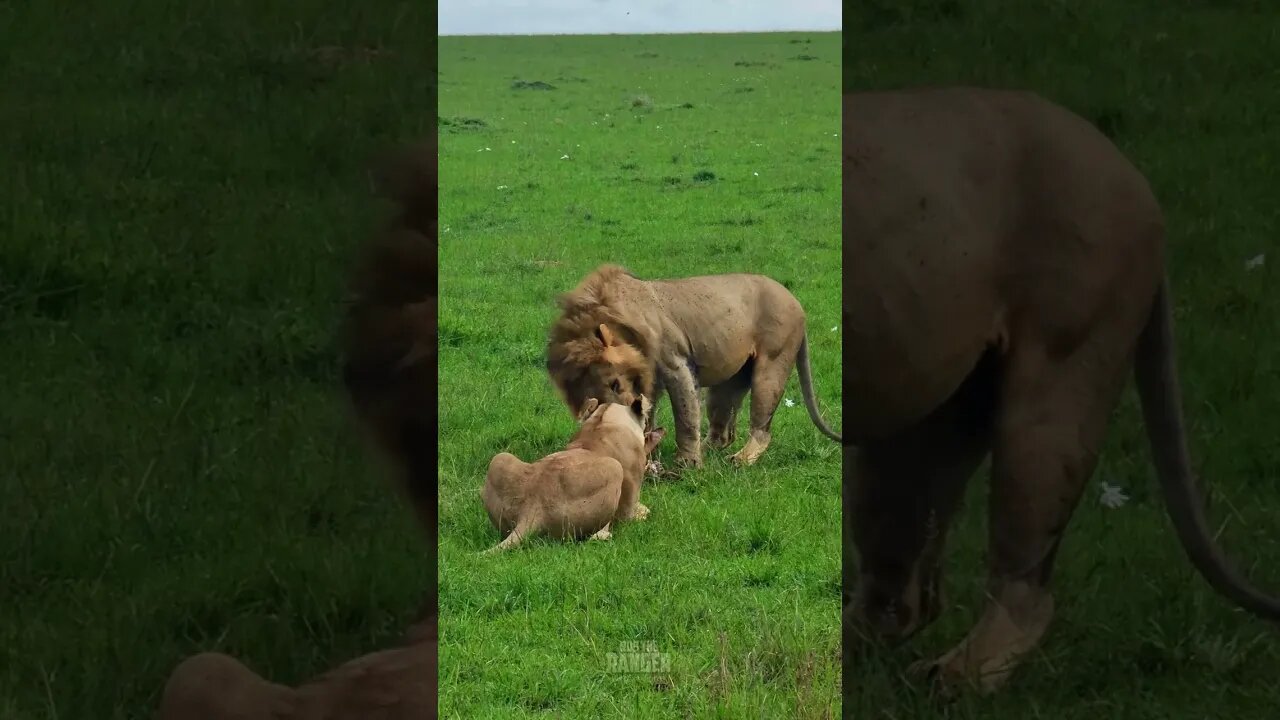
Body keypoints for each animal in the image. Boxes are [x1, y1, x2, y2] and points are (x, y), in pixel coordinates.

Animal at [478, 392, 660, 548]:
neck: (603, 421)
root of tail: (531, 510)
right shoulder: (630, 492)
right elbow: (633, 512)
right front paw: (643, 512)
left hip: (500, 458)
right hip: (614, 468)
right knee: (595, 536)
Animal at [547, 263, 839, 466]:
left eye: (615, 384)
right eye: (593, 401)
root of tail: (795, 300)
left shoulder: (675, 364)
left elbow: (685, 416)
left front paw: (686, 463)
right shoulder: (649, 383)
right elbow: (648, 416)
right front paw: (645, 453)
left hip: (773, 364)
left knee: (762, 428)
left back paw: (741, 459)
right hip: (729, 382)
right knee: (722, 431)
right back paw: (708, 452)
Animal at [839, 87, 1280, 691]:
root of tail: (1133, 176)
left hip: (1063, 365)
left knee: (1025, 579)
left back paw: (957, 678)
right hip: (930, 406)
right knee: (903, 588)